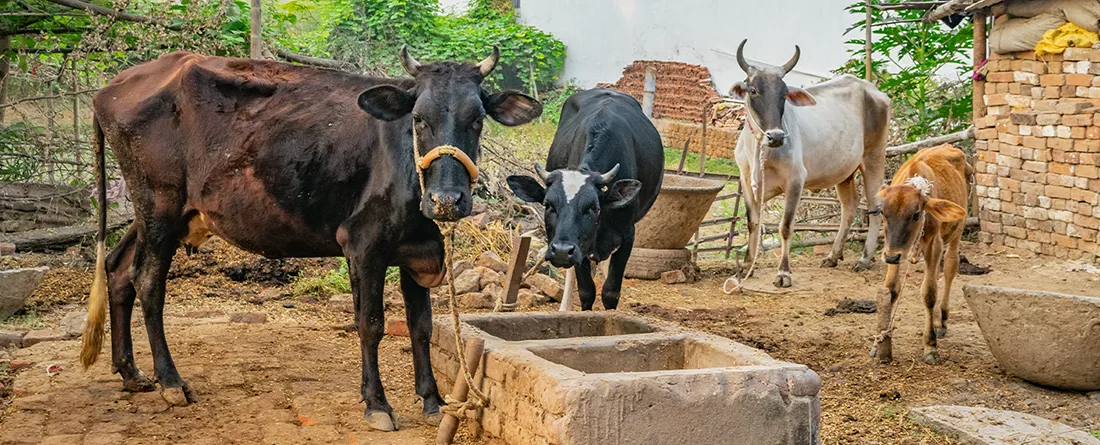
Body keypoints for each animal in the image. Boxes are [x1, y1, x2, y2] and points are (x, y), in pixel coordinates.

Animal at [79, 47, 542, 431]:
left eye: (477, 120)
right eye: (418, 119)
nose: (446, 201)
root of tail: (109, 89)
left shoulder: (417, 252)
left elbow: (421, 327)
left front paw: (432, 401)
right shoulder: (365, 244)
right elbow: (370, 324)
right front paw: (378, 405)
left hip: (159, 213)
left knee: (118, 272)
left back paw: (131, 373)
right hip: (159, 204)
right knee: (147, 281)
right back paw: (171, 381)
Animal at [506, 88, 663, 311]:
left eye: (594, 207)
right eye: (548, 205)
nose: (562, 251)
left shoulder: (628, 234)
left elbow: (610, 292)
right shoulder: (578, 246)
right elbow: (586, 291)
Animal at [729, 40, 890, 288]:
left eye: (784, 94)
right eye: (754, 90)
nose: (776, 136)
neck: (761, 150)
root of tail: (872, 89)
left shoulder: (795, 180)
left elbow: (786, 227)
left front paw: (783, 273)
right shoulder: (746, 181)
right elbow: (753, 223)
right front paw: (747, 266)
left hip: (874, 158)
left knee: (876, 208)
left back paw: (864, 259)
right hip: (845, 172)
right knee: (849, 207)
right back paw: (833, 255)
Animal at [871, 144, 970, 365]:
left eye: (916, 214)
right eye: (883, 213)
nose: (891, 257)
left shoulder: (934, 245)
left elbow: (929, 294)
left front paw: (930, 345)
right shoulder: (893, 249)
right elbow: (891, 289)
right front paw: (880, 341)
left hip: (957, 231)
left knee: (950, 267)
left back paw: (942, 321)